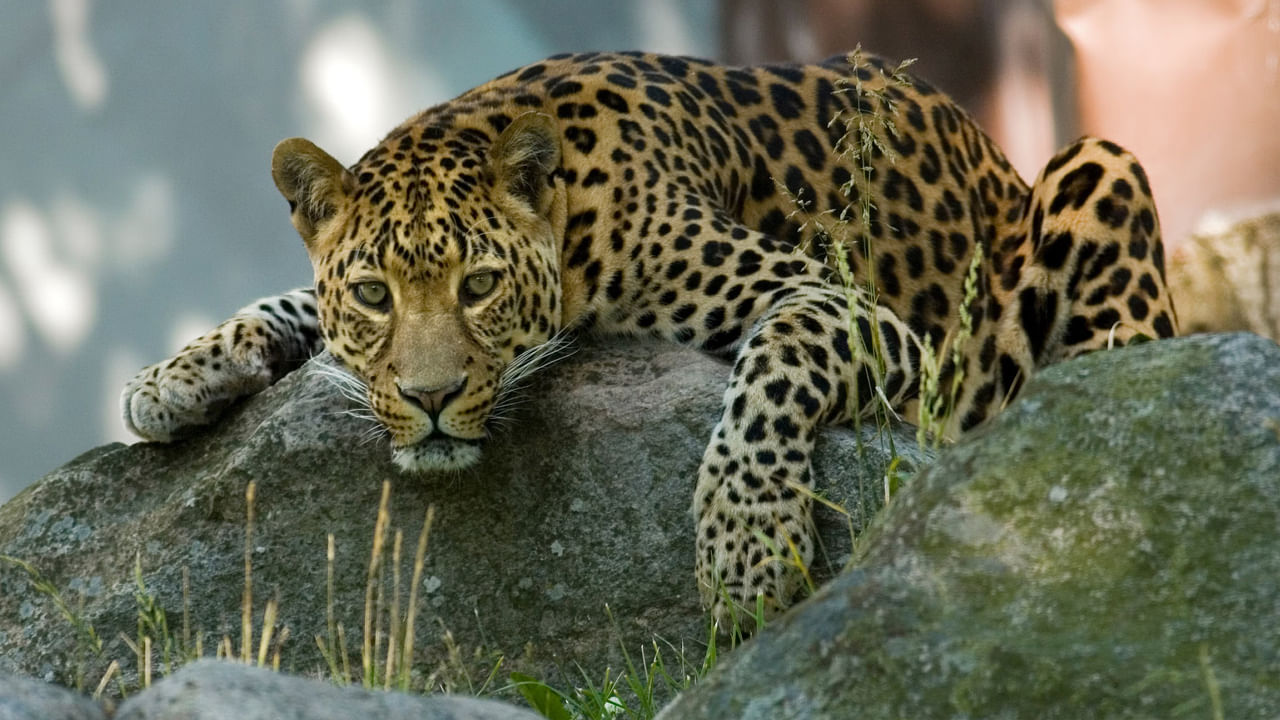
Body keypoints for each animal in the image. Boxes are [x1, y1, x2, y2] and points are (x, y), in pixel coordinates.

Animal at [121, 50, 1177, 628]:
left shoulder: (858, 315)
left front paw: (744, 552)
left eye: (480, 284)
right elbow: (289, 300)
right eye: (376, 293)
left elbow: (776, 362)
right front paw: (175, 376)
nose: (429, 401)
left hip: (1100, 165)